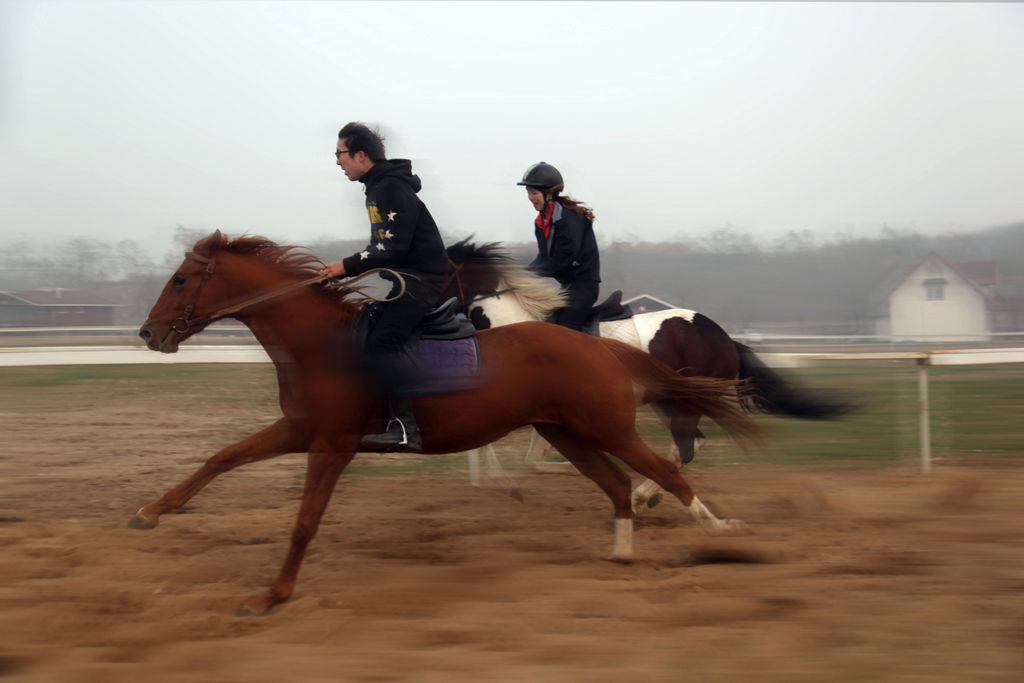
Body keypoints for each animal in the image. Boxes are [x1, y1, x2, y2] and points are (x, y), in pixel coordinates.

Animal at [132, 232, 761, 618]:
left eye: (182, 279)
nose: (148, 332)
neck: (325, 345)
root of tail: (597, 347)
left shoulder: (332, 443)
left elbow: (304, 522)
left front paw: (271, 595)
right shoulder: (300, 431)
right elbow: (221, 457)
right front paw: (152, 511)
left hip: (608, 429)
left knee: (666, 471)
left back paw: (721, 532)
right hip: (569, 434)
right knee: (620, 484)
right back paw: (623, 553)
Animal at [440, 240, 847, 507]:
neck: (514, 325)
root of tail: (724, 337)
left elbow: (512, 451)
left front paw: (508, 483)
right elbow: (521, 454)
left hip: (685, 403)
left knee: (686, 448)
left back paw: (642, 496)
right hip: (671, 401)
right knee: (690, 446)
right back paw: (647, 494)